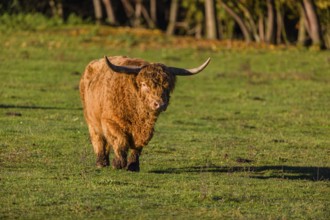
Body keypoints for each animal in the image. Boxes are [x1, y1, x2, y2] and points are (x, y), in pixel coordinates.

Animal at [78, 55, 210, 171]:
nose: (159, 104)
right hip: (92, 120)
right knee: (98, 138)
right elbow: (120, 140)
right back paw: (101, 162)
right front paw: (118, 163)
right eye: (144, 84)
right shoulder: (110, 121)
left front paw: (133, 166)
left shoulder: (145, 131)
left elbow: (137, 147)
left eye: (167, 86)